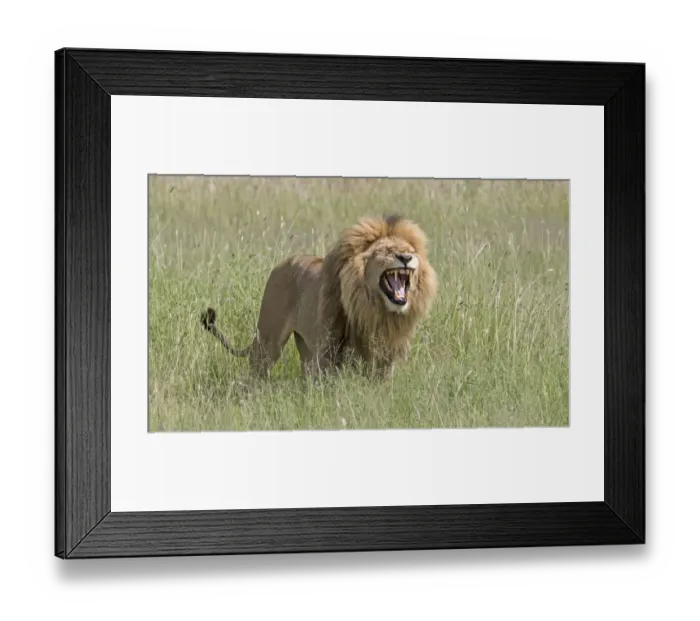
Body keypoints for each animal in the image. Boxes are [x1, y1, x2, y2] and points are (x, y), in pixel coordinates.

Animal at [201, 214, 437, 379]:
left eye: (410, 251)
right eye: (388, 251)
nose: (406, 257)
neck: (375, 310)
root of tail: (280, 264)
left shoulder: (386, 356)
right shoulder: (328, 349)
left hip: (304, 345)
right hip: (269, 341)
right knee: (255, 373)